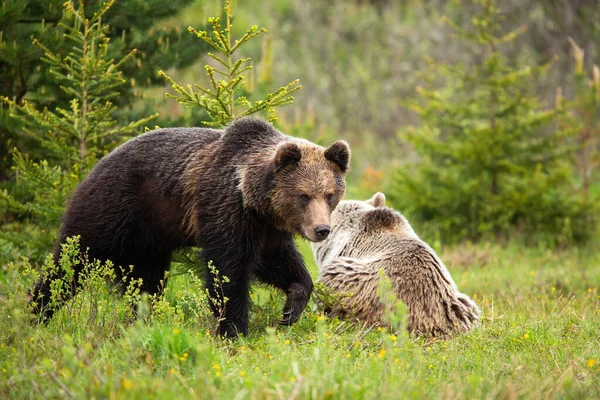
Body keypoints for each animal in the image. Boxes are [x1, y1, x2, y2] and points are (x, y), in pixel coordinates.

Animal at [30, 117, 352, 336]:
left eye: (329, 194)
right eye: (304, 195)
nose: (321, 229)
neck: (253, 197)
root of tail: (92, 168)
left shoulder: (268, 227)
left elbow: (278, 261)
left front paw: (291, 307)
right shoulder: (223, 206)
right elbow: (227, 271)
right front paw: (233, 329)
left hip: (148, 243)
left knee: (148, 284)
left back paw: (141, 320)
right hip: (112, 210)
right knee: (71, 261)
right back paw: (38, 310)